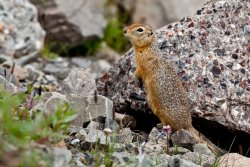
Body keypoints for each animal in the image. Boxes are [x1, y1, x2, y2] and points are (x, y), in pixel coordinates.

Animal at [123, 23, 225, 155]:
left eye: (140, 29)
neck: (148, 48)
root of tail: (188, 125)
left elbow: (138, 71)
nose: (124, 30)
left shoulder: (143, 66)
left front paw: (134, 78)